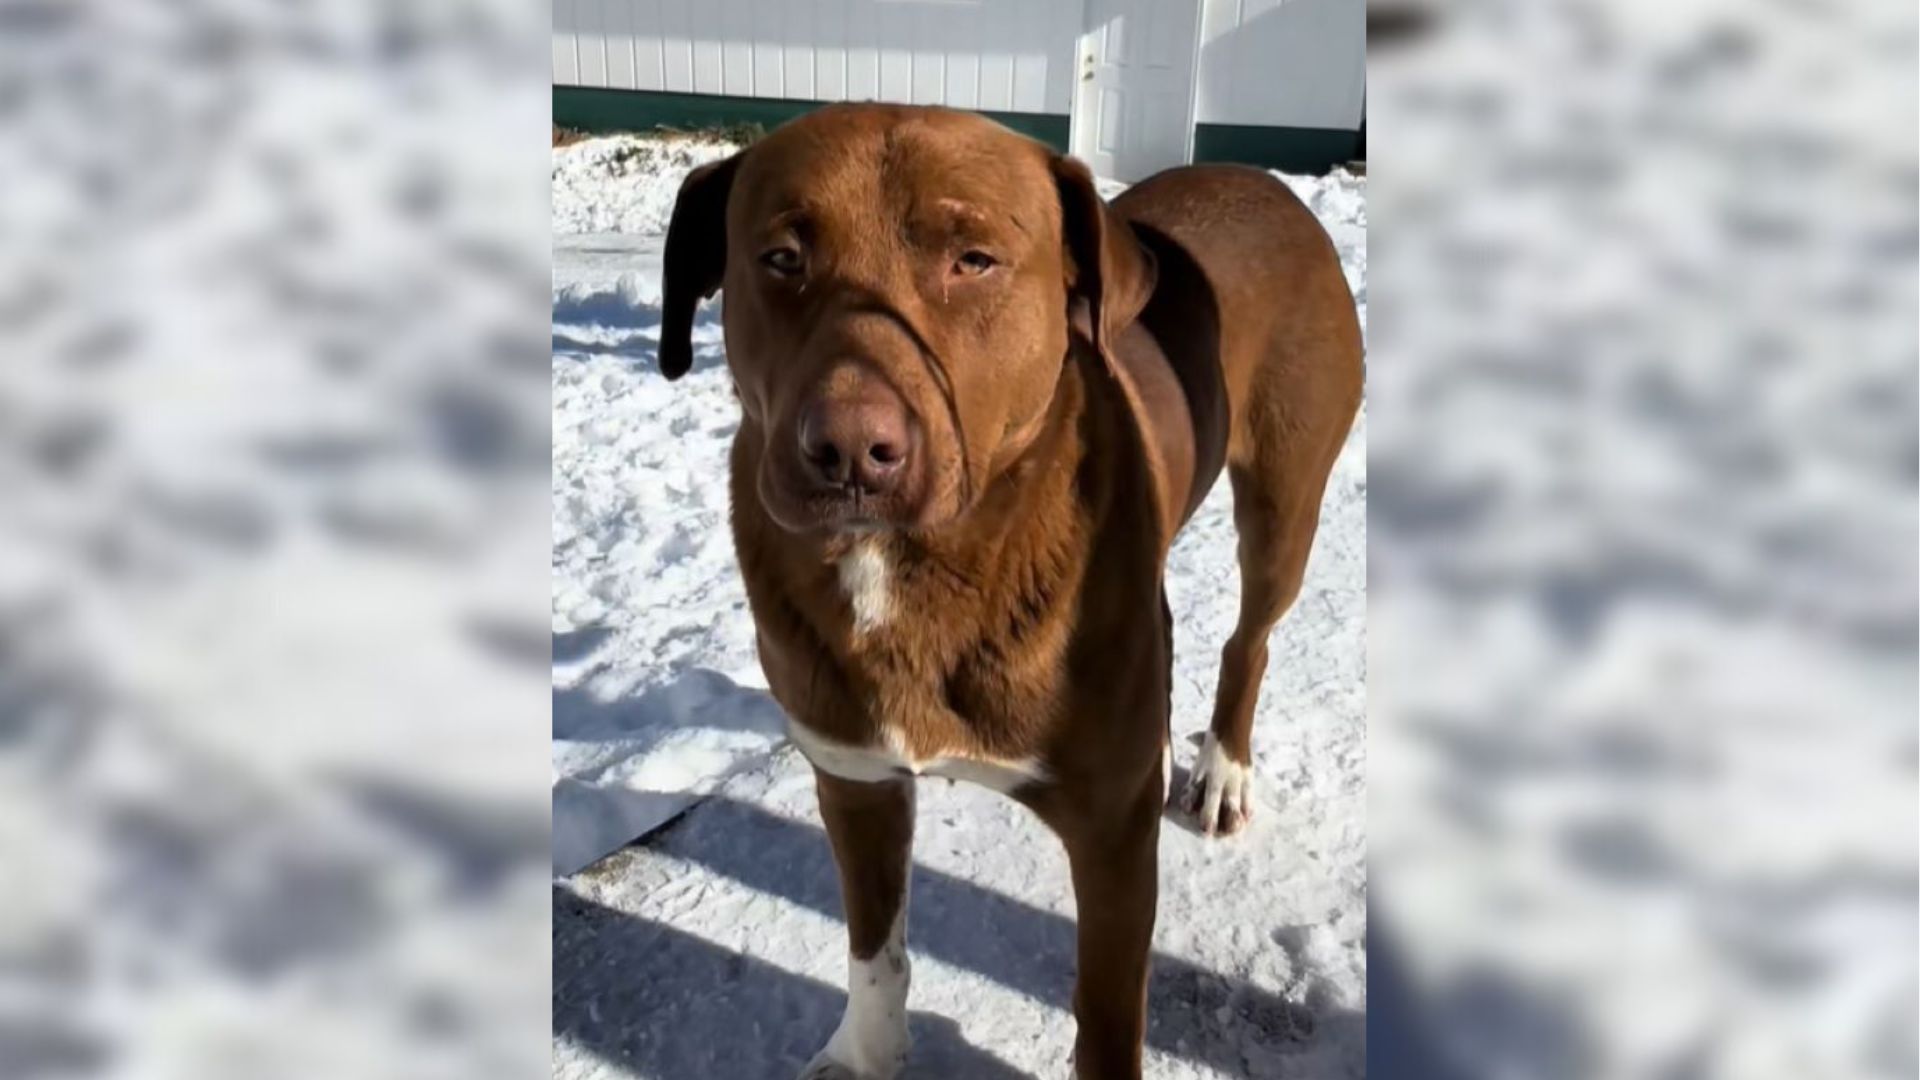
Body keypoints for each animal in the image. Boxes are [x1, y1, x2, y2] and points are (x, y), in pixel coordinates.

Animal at [660, 102, 1367, 1076]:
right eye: (780, 257)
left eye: (975, 259)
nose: (849, 451)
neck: (914, 569)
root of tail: (1265, 182)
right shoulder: (855, 778)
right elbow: (874, 947)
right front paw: (865, 1052)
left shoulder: (1114, 826)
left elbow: (1107, 1014)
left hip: (1285, 496)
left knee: (1249, 637)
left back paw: (1223, 769)